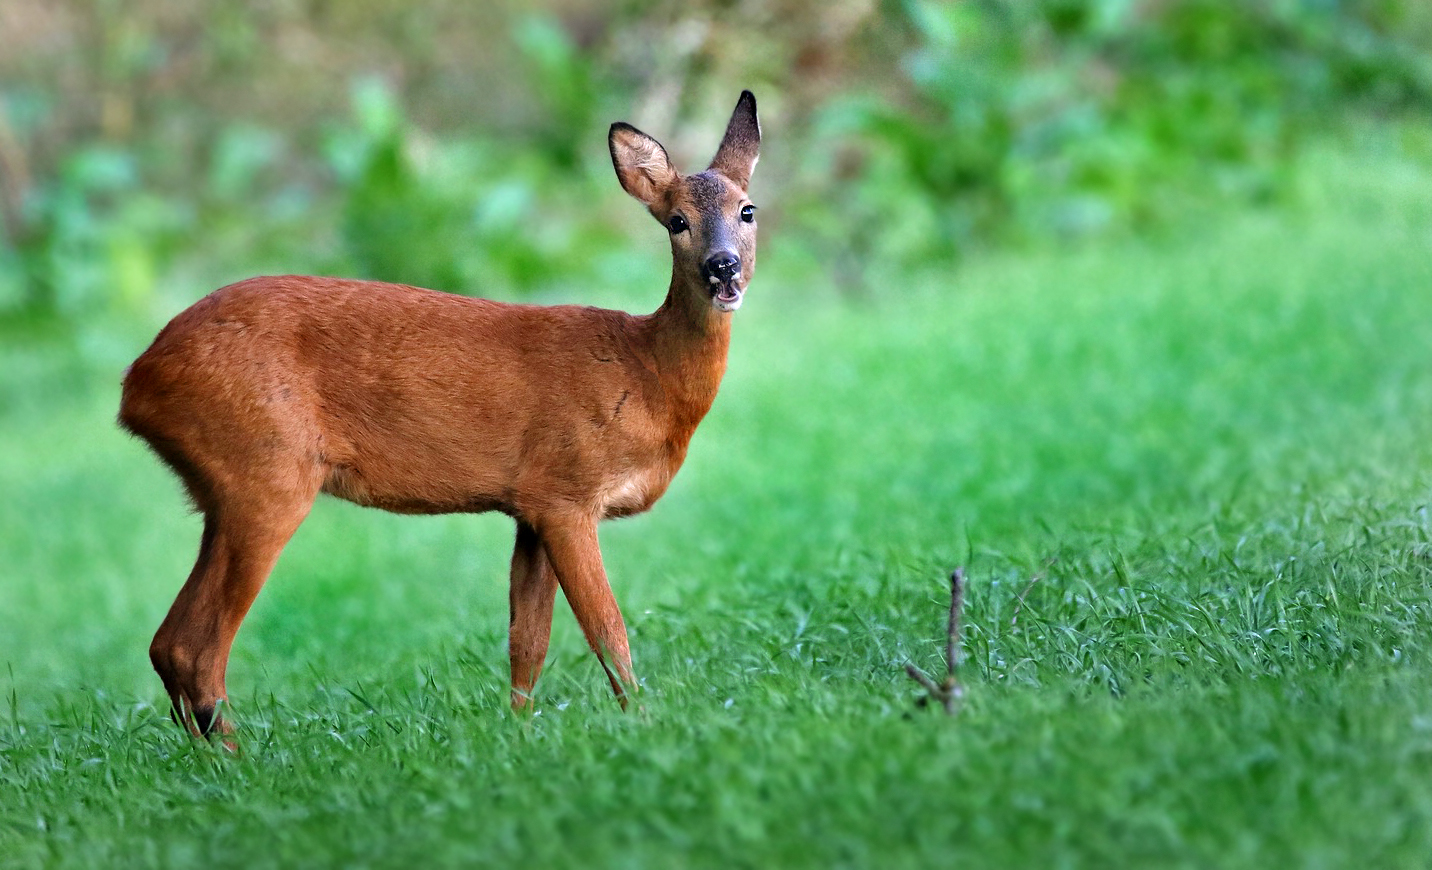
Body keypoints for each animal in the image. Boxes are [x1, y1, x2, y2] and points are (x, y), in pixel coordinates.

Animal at [120, 91, 761, 738]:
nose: (723, 266)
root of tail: (136, 383)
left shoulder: (530, 503)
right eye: (677, 221)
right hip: (266, 471)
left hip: (223, 491)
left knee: (166, 643)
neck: (645, 375)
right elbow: (608, 631)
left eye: (747, 210)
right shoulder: (568, 491)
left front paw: (518, 734)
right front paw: (645, 726)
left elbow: (527, 644)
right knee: (196, 647)